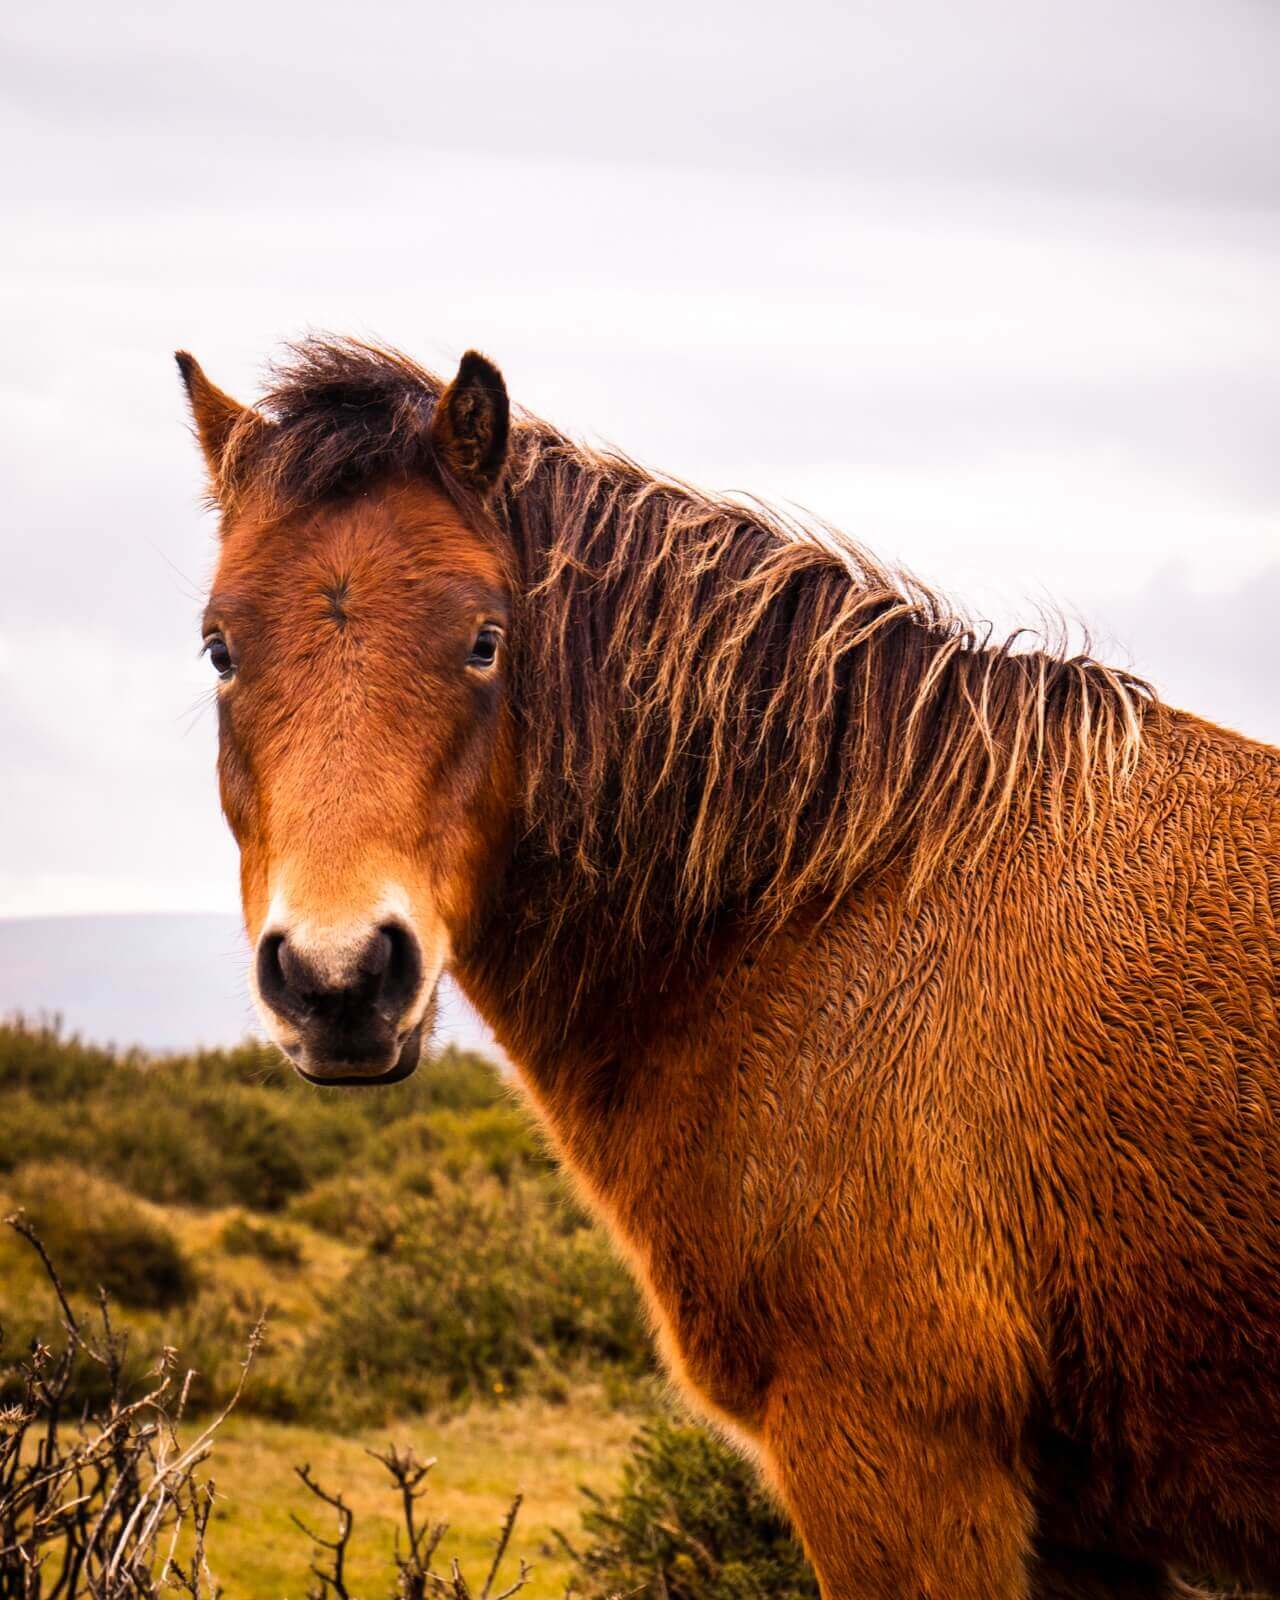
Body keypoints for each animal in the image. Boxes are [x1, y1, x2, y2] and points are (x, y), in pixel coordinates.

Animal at [177, 340, 1280, 1600]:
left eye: (483, 640)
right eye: (220, 647)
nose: (339, 978)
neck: (829, 912)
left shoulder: (896, 1462)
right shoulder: (1082, 1528)